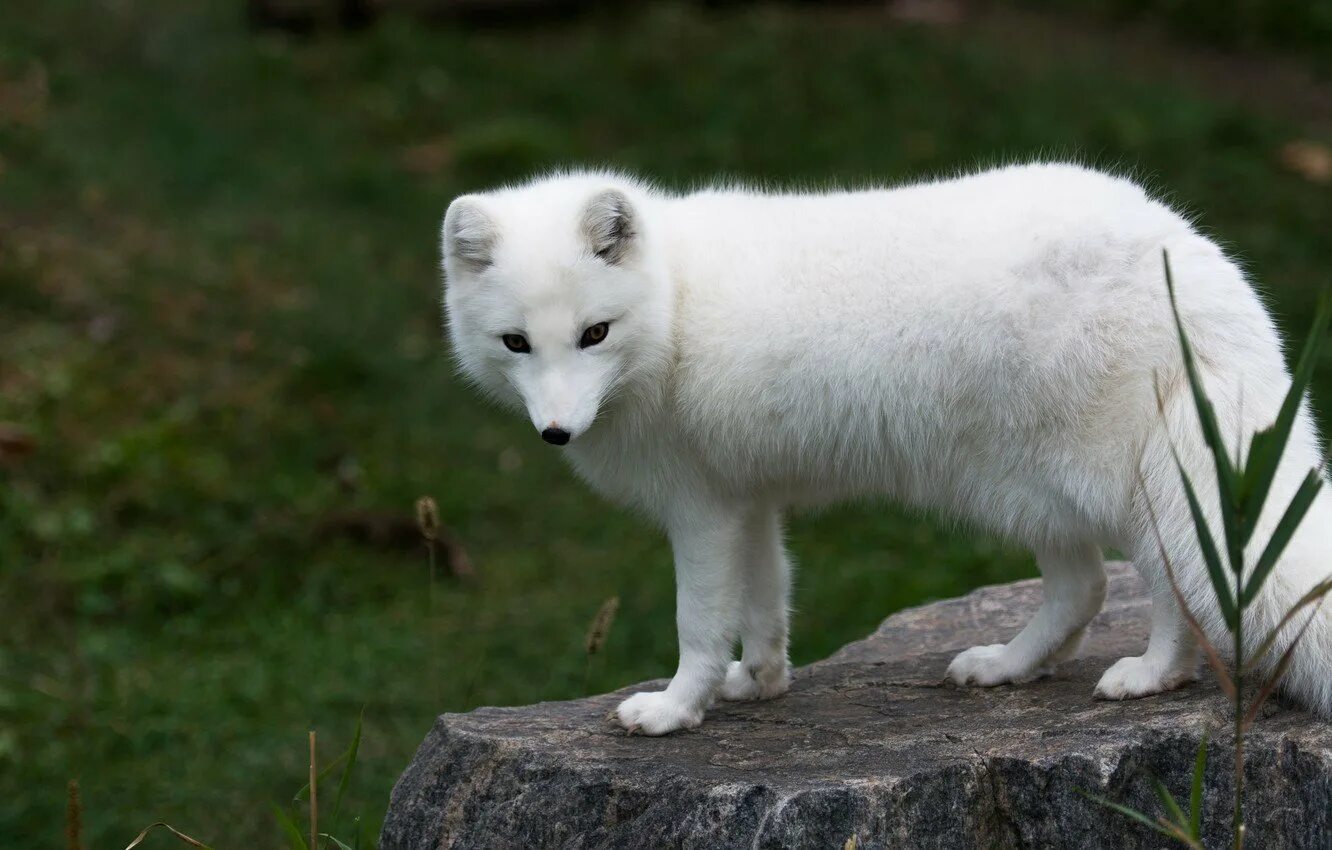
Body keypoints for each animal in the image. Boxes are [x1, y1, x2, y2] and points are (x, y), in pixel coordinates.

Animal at [439, 163, 1332, 735]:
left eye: (595, 333)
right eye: (516, 343)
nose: (557, 431)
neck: (676, 306)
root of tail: (1194, 260)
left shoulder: (700, 510)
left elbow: (700, 620)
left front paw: (675, 708)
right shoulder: (748, 501)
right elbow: (767, 603)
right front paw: (759, 683)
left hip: (1110, 484)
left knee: (1175, 582)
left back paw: (1152, 674)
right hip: (1027, 490)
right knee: (1085, 589)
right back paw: (1007, 666)